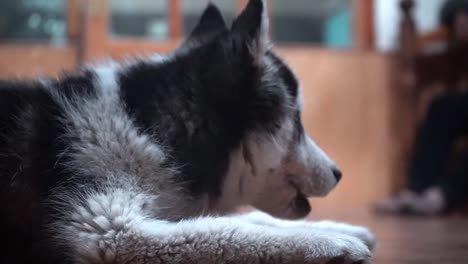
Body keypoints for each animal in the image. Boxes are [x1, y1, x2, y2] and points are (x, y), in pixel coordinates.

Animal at [0, 1, 372, 262]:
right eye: (297, 121)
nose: (338, 173)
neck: (150, 129)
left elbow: (243, 218)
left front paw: (334, 227)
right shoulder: (105, 229)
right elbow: (228, 229)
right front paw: (326, 242)